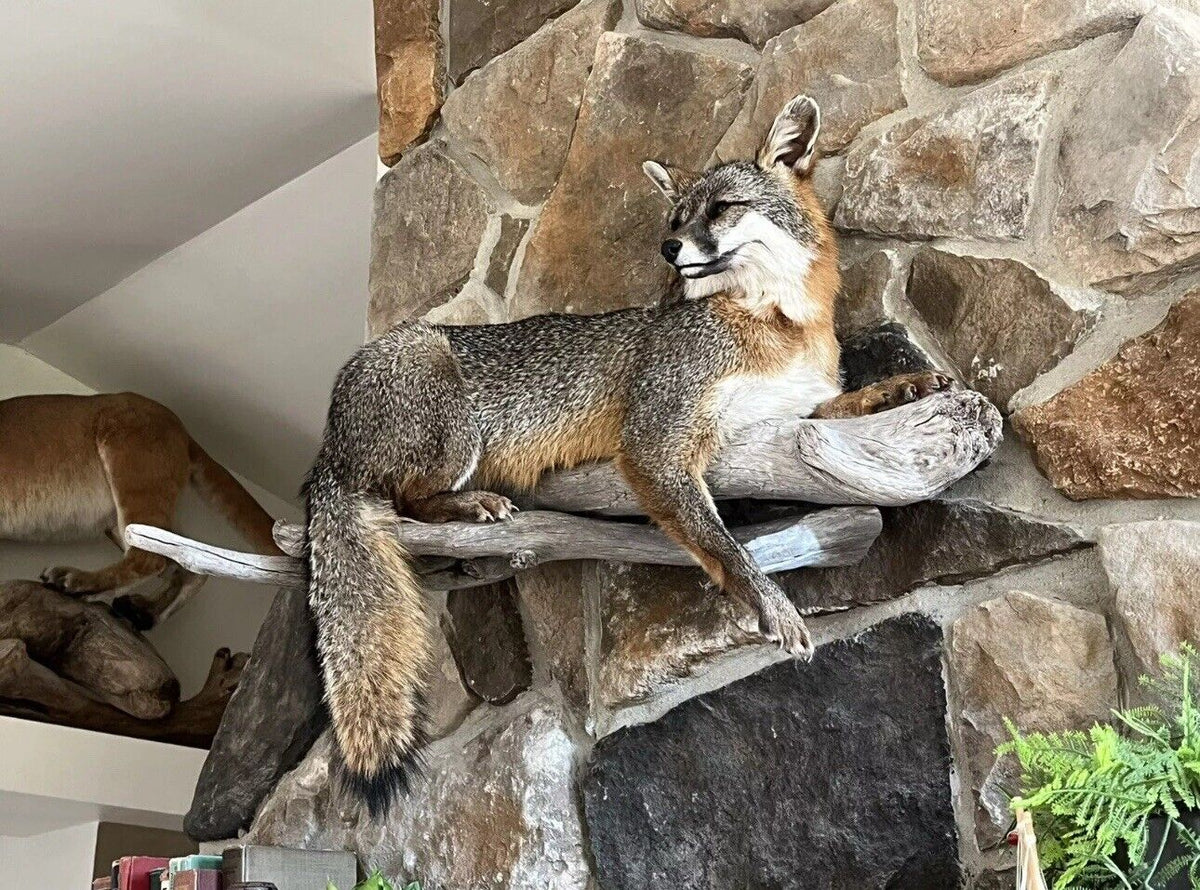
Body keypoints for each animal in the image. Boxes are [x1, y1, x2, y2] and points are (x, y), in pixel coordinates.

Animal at [306, 94, 951, 817]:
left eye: (721, 208)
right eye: (676, 220)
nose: (668, 248)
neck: (779, 326)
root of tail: (328, 438)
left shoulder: (785, 418)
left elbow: (843, 406)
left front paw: (902, 385)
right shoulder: (655, 437)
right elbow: (721, 543)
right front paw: (768, 600)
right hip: (450, 421)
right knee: (405, 501)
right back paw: (469, 504)